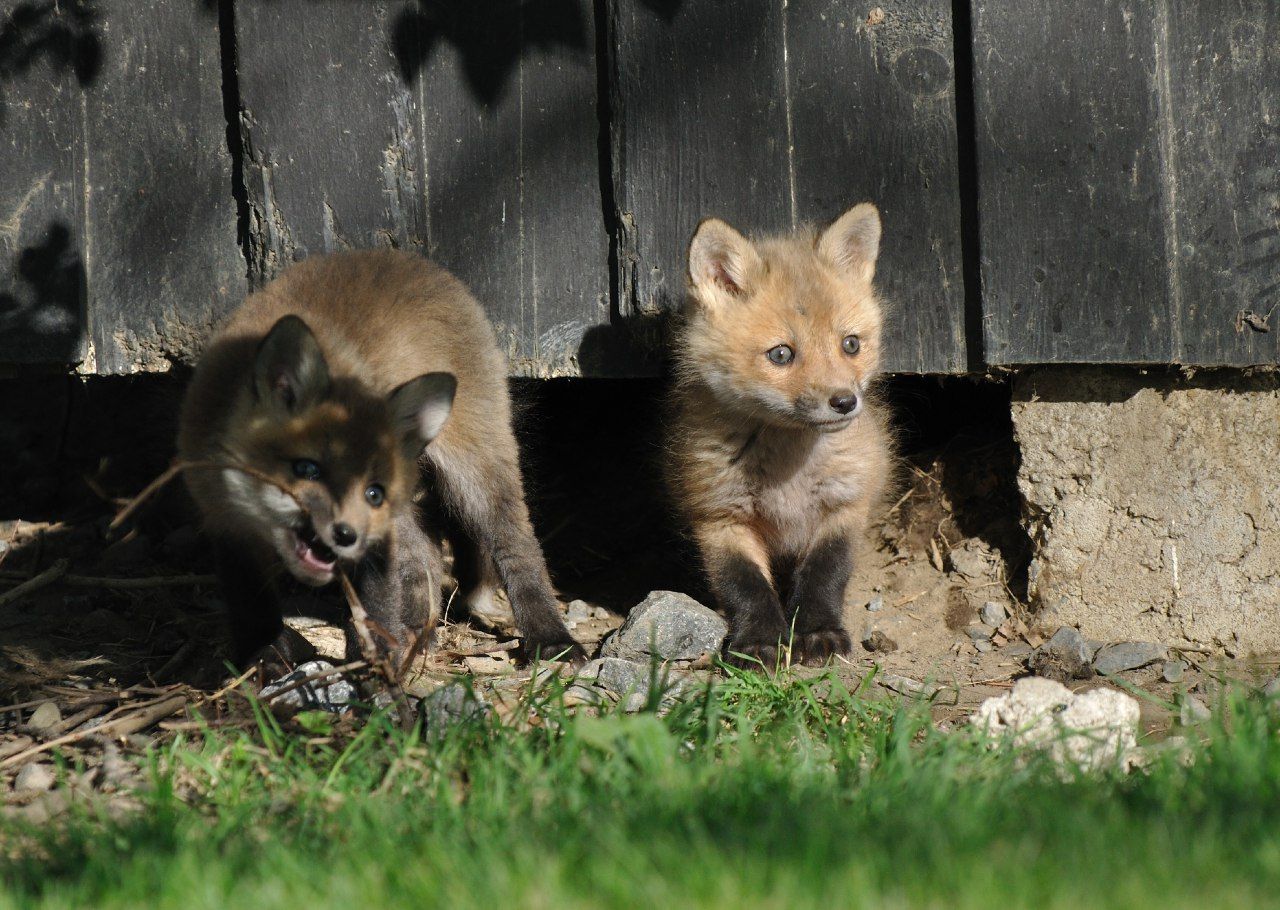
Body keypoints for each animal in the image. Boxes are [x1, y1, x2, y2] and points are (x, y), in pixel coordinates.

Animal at [177, 250, 584, 671]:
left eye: (371, 492)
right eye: (307, 469)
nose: (346, 534)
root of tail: (409, 258)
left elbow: (374, 605)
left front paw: (374, 666)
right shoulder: (224, 519)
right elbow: (249, 604)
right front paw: (262, 657)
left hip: (477, 466)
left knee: (516, 544)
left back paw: (550, 637)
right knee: (425, 549)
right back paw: (421, 630)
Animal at [667, 203, 892, 669]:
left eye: (851, 344)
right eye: (782, 354)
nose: (845, 402)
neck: (790, 470)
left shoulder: (846, 504)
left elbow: (825, 574)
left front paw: (818, 632)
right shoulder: (719, 515)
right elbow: (744, 584)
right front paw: (758, 641)